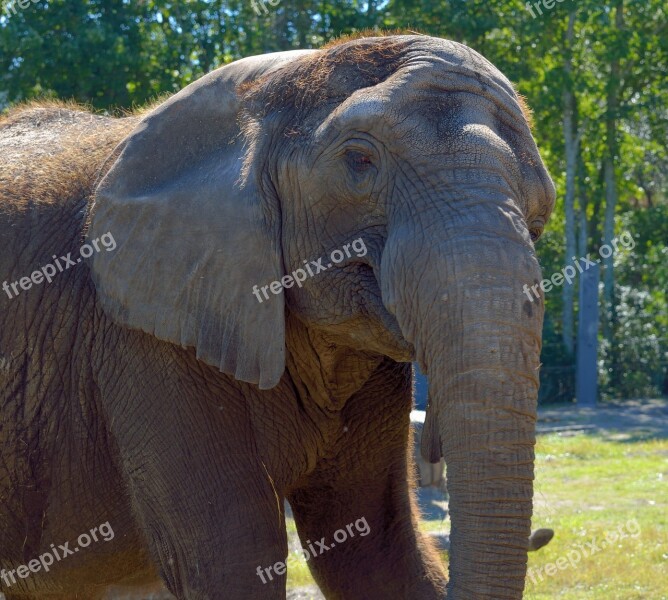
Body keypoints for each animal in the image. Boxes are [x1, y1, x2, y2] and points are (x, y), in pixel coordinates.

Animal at [0, 34, 552, 600]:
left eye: (539, 218)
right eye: (359, 160)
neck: (269, 89)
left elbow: (376, 553)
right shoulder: (142, 330)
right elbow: (234, 557)